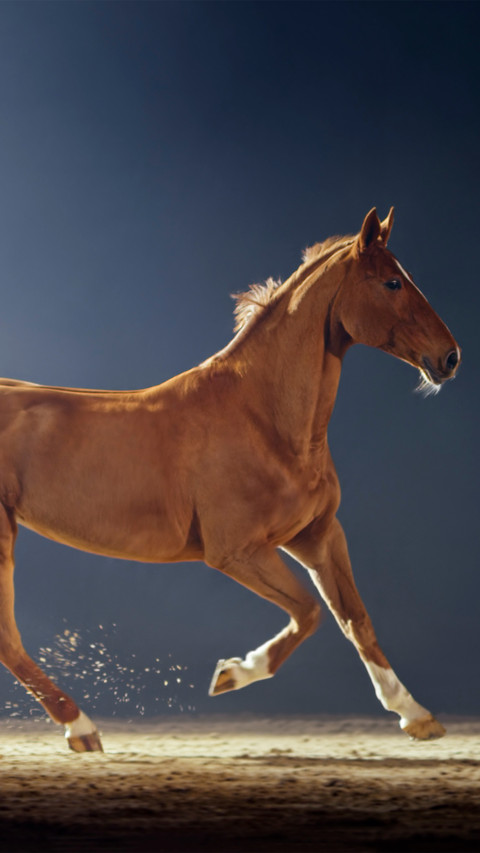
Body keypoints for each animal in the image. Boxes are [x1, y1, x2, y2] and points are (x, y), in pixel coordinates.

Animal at [0, 208, 460, 752]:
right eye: (392, 282)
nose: (449, 358)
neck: (263, 419)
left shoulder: (317, 535)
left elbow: (355, 619)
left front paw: (415, 715)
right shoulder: (237, 552)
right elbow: (309, 612)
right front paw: (232, 673)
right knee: (8, 636)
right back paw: (82, 727)